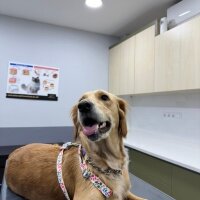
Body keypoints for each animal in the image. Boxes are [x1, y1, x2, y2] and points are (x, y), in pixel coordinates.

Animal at [4, 90, 145, 199]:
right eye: (81, 100)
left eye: (104, 97)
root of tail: (11, 154)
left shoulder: (125, 192)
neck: (108, 162)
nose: (83, 106)